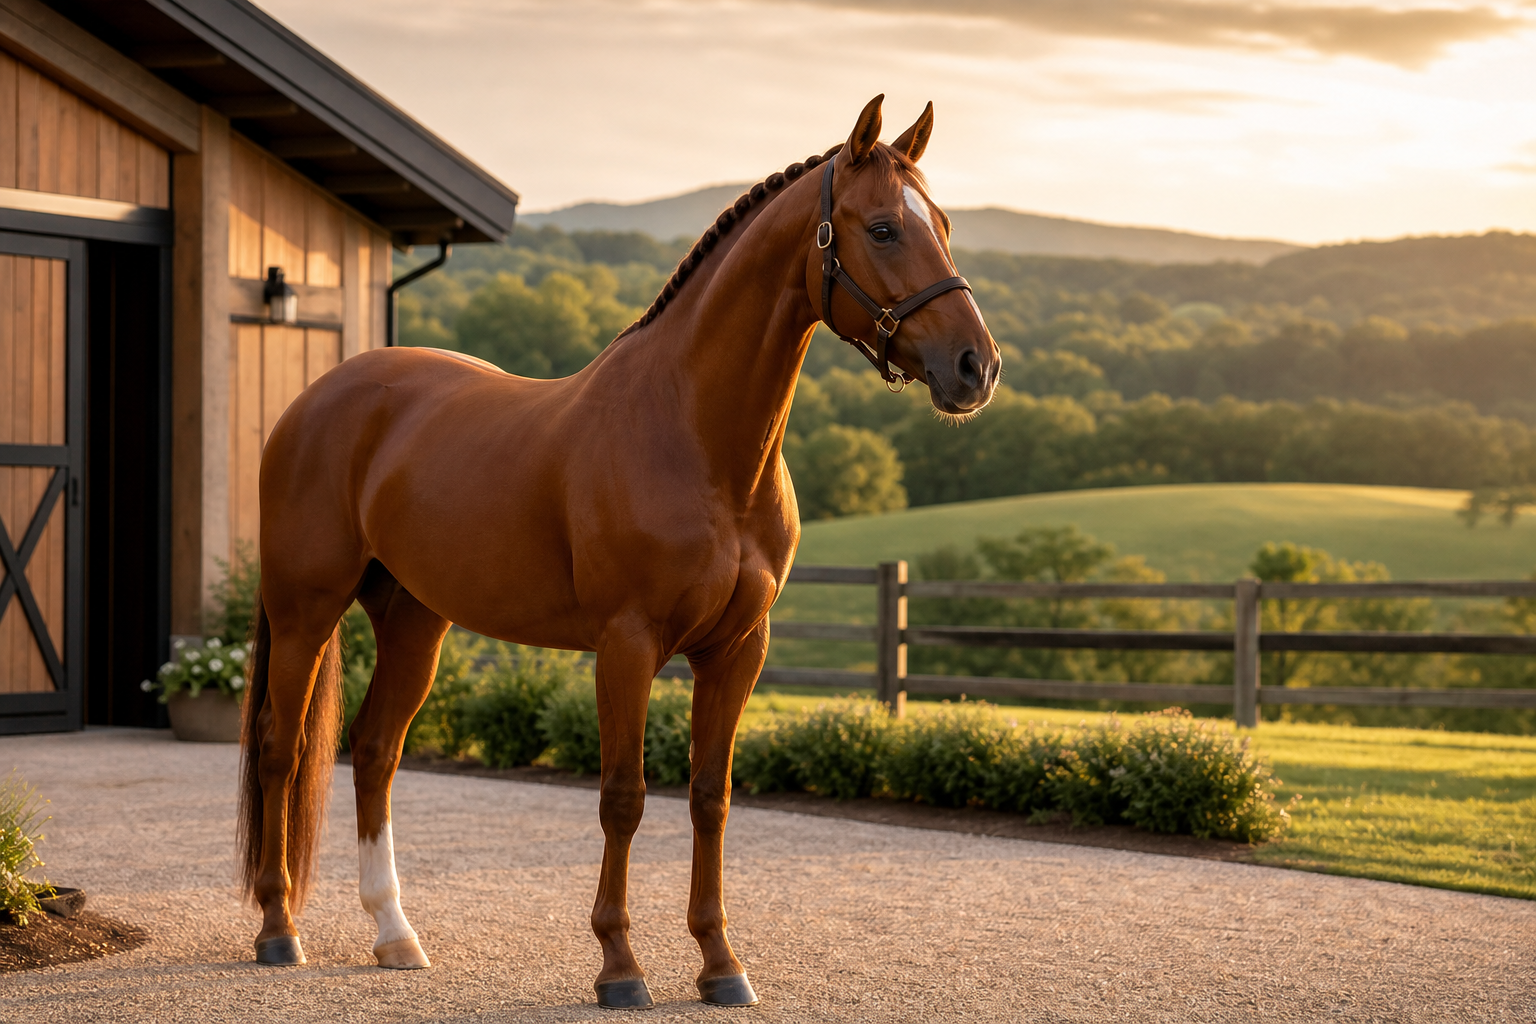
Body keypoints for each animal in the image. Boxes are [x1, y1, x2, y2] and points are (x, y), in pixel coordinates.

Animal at [235, 94, 1000, 1009]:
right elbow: (624, 799)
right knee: (281, 748)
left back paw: (394, 934)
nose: (976, 365)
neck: (697, 439)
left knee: (375, 749)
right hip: (305, 611)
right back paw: (278, 930)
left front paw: (720, 965)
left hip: (415, 620)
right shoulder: (627, 645)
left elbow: (710, 798)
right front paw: (620, 966)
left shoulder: (738, 651)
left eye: (943, 224)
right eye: (883, 228)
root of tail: (315, 402)